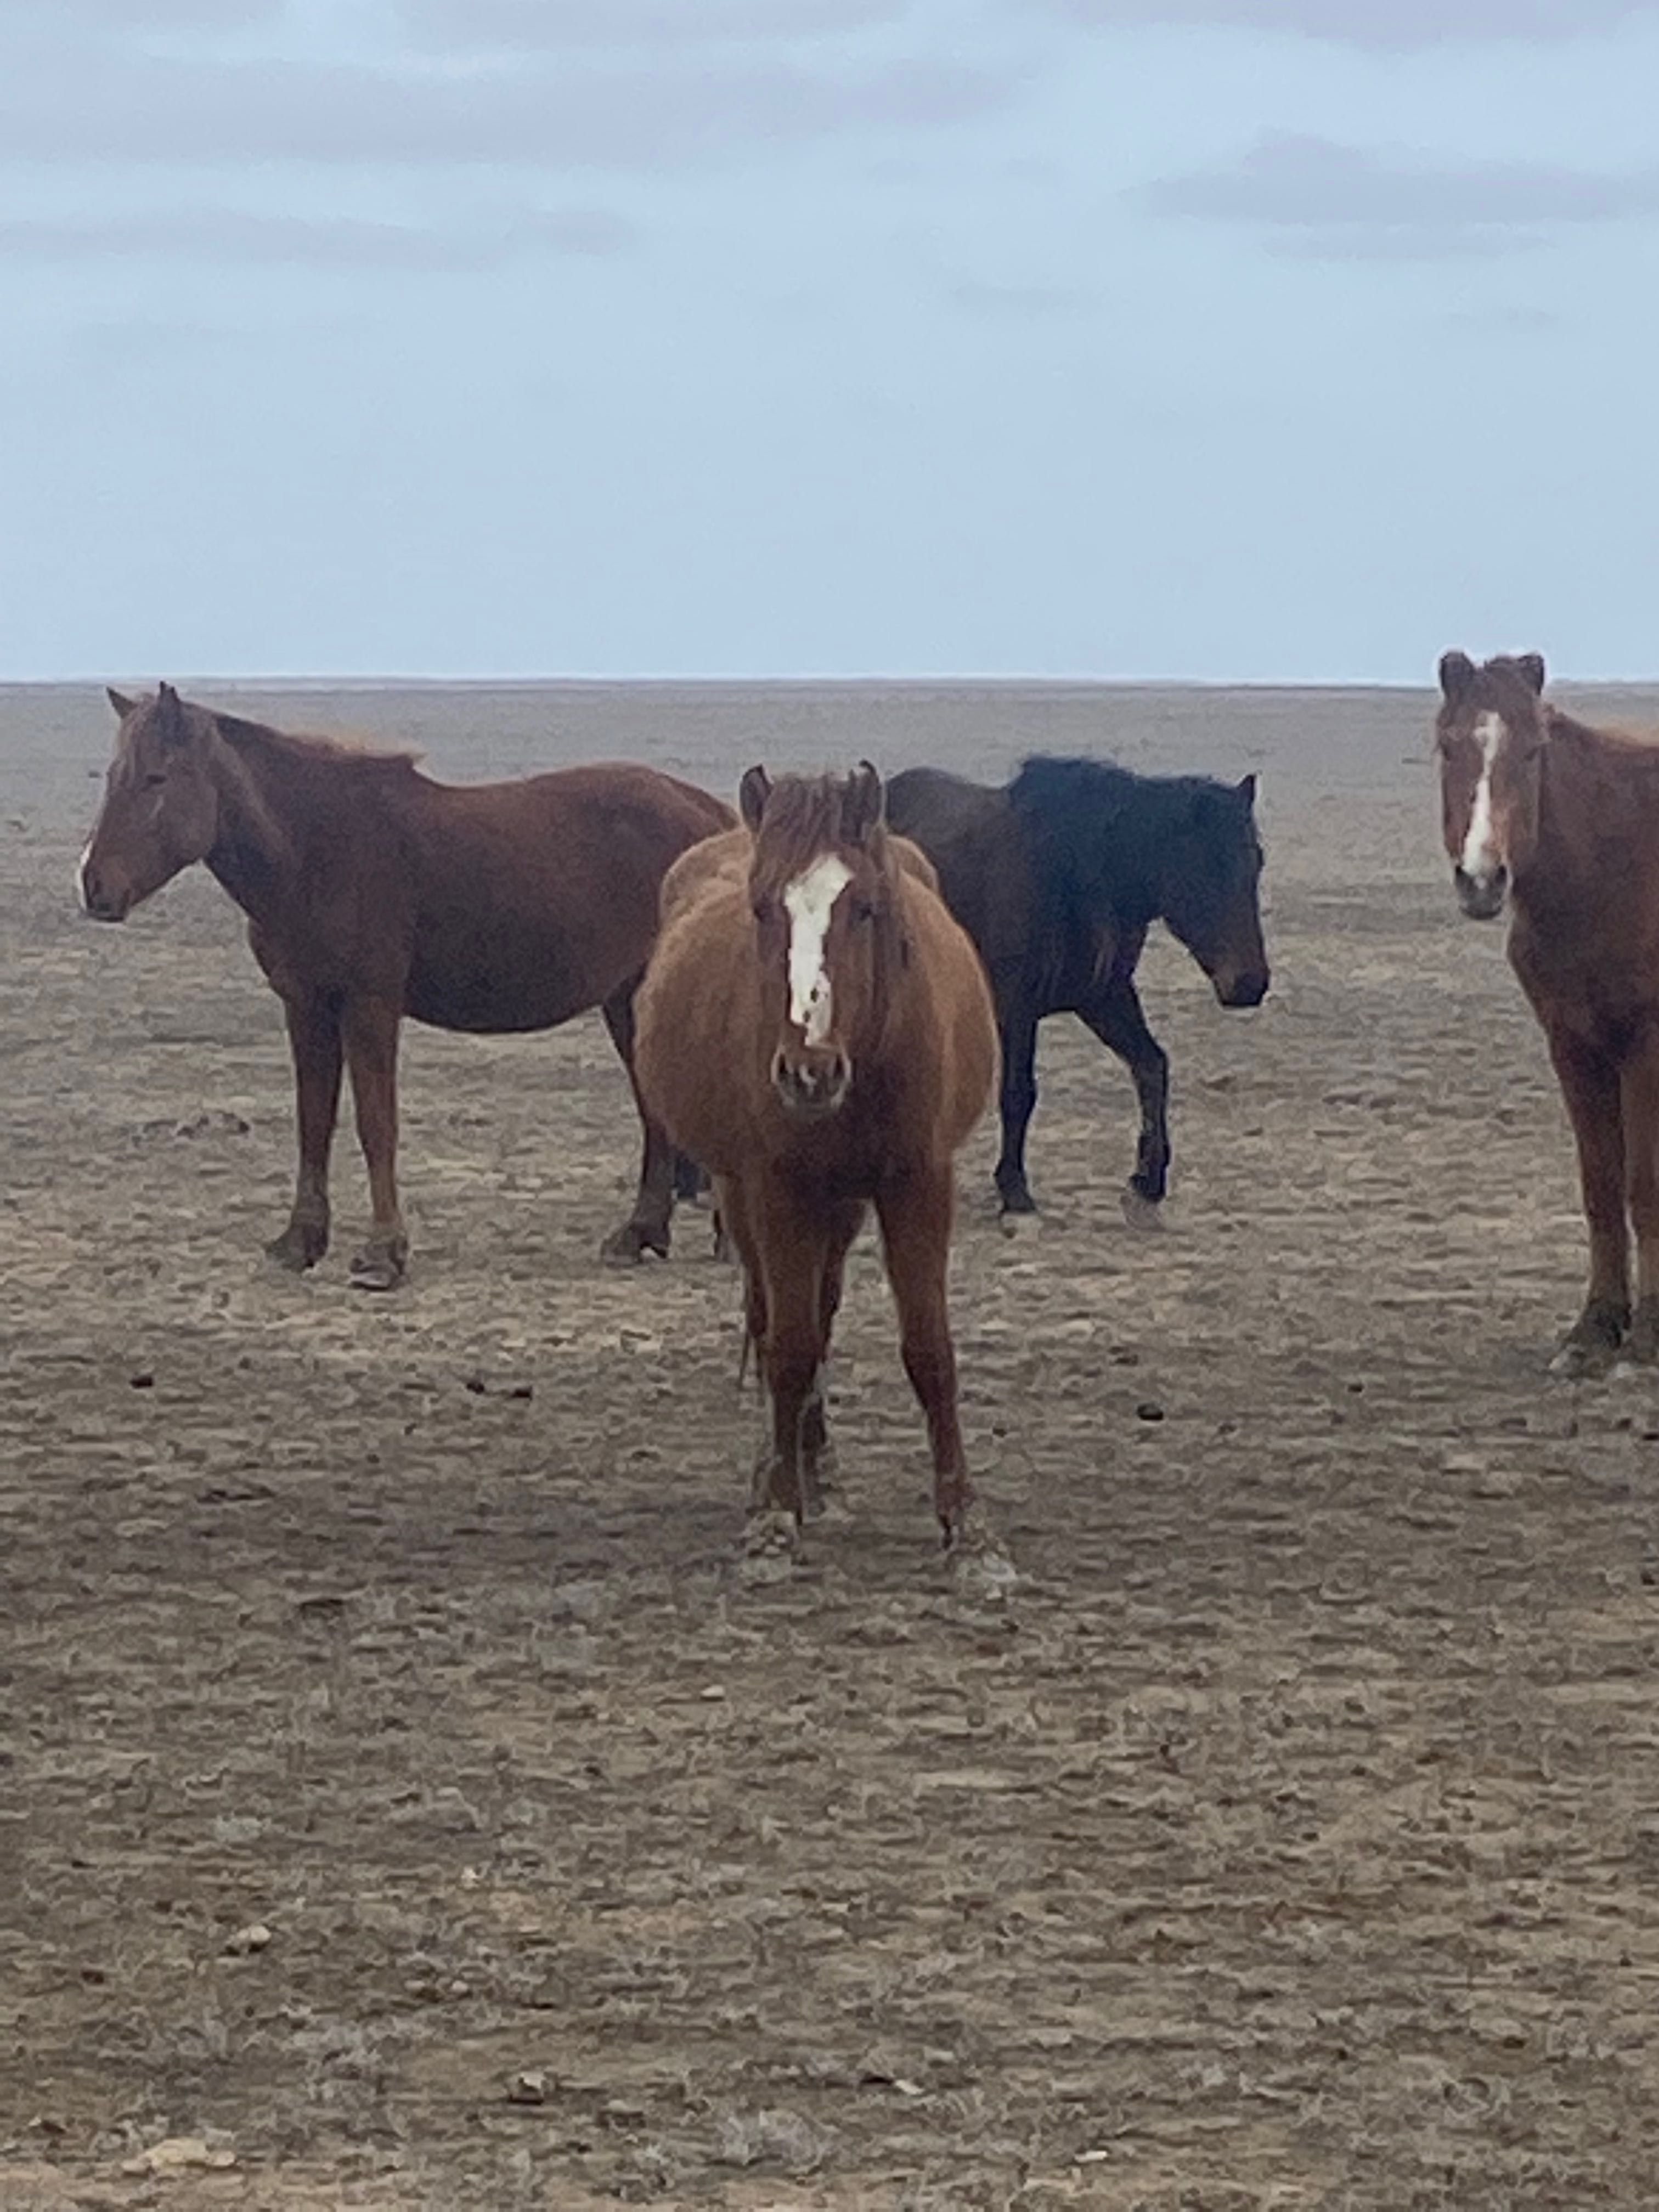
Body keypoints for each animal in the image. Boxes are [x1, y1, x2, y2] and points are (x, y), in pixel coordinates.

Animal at [80, 681, 734, 1291]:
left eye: (156, 778)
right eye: (113, 776)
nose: (93, 886)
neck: (314, 850)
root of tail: (707, 812)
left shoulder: (370, 1005)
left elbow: (377, 1125)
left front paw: (382, 1254)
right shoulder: (306, 1006)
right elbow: (313, 1123)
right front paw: (300, 1240)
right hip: (625, 1000)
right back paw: (642, 1232)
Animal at [637, 761, 1000, 1539]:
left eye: (863, 907)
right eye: (762, 908)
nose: (809, 1071)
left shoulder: (917, 1184)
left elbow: (930, 1351)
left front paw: (967, 1527)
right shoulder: (779, 1190)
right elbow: (790, 1347)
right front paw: (776, 1515)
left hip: (843, 1203)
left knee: (825, 1308)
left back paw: (819, 1464)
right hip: (747, 1191)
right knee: (772, 1317)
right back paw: (785, 1466)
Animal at [898, 756, 1274, 1212]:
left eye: (1257, 861)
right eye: (1207, 868)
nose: (1250, 984)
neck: (1072, 875)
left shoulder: (1104, 998)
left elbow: (1152, 1067)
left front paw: (1149, 1177)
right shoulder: (1018, 1009)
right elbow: (1018, 1094)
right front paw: (1014, 1187)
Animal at [1433, 646, 1659, 1362]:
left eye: (1533, 752)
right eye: (1448, 746)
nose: (1482, 879)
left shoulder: (1644, 1046)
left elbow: (1643, 1186)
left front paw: (1647, 1337)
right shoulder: (1573, 1045)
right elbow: (1602, 1184)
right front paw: (1596, 1327)